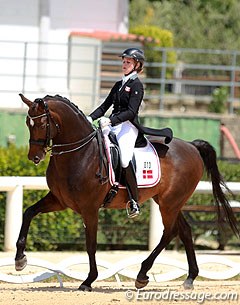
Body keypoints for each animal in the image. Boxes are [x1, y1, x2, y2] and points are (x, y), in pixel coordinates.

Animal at [15, 92, 238, 290]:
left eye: (42, 124)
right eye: (27, 123)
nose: (34, 157)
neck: (80, 154)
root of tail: (192, 146)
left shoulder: (89, 209)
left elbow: (91, 244)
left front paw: (89, 280)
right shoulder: (59, 201)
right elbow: (28, 212)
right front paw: (20, 259)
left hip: (170, 203)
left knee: (170, 231)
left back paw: (142, 274)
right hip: (170, 202)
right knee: (184, 230)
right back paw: (190, 277)